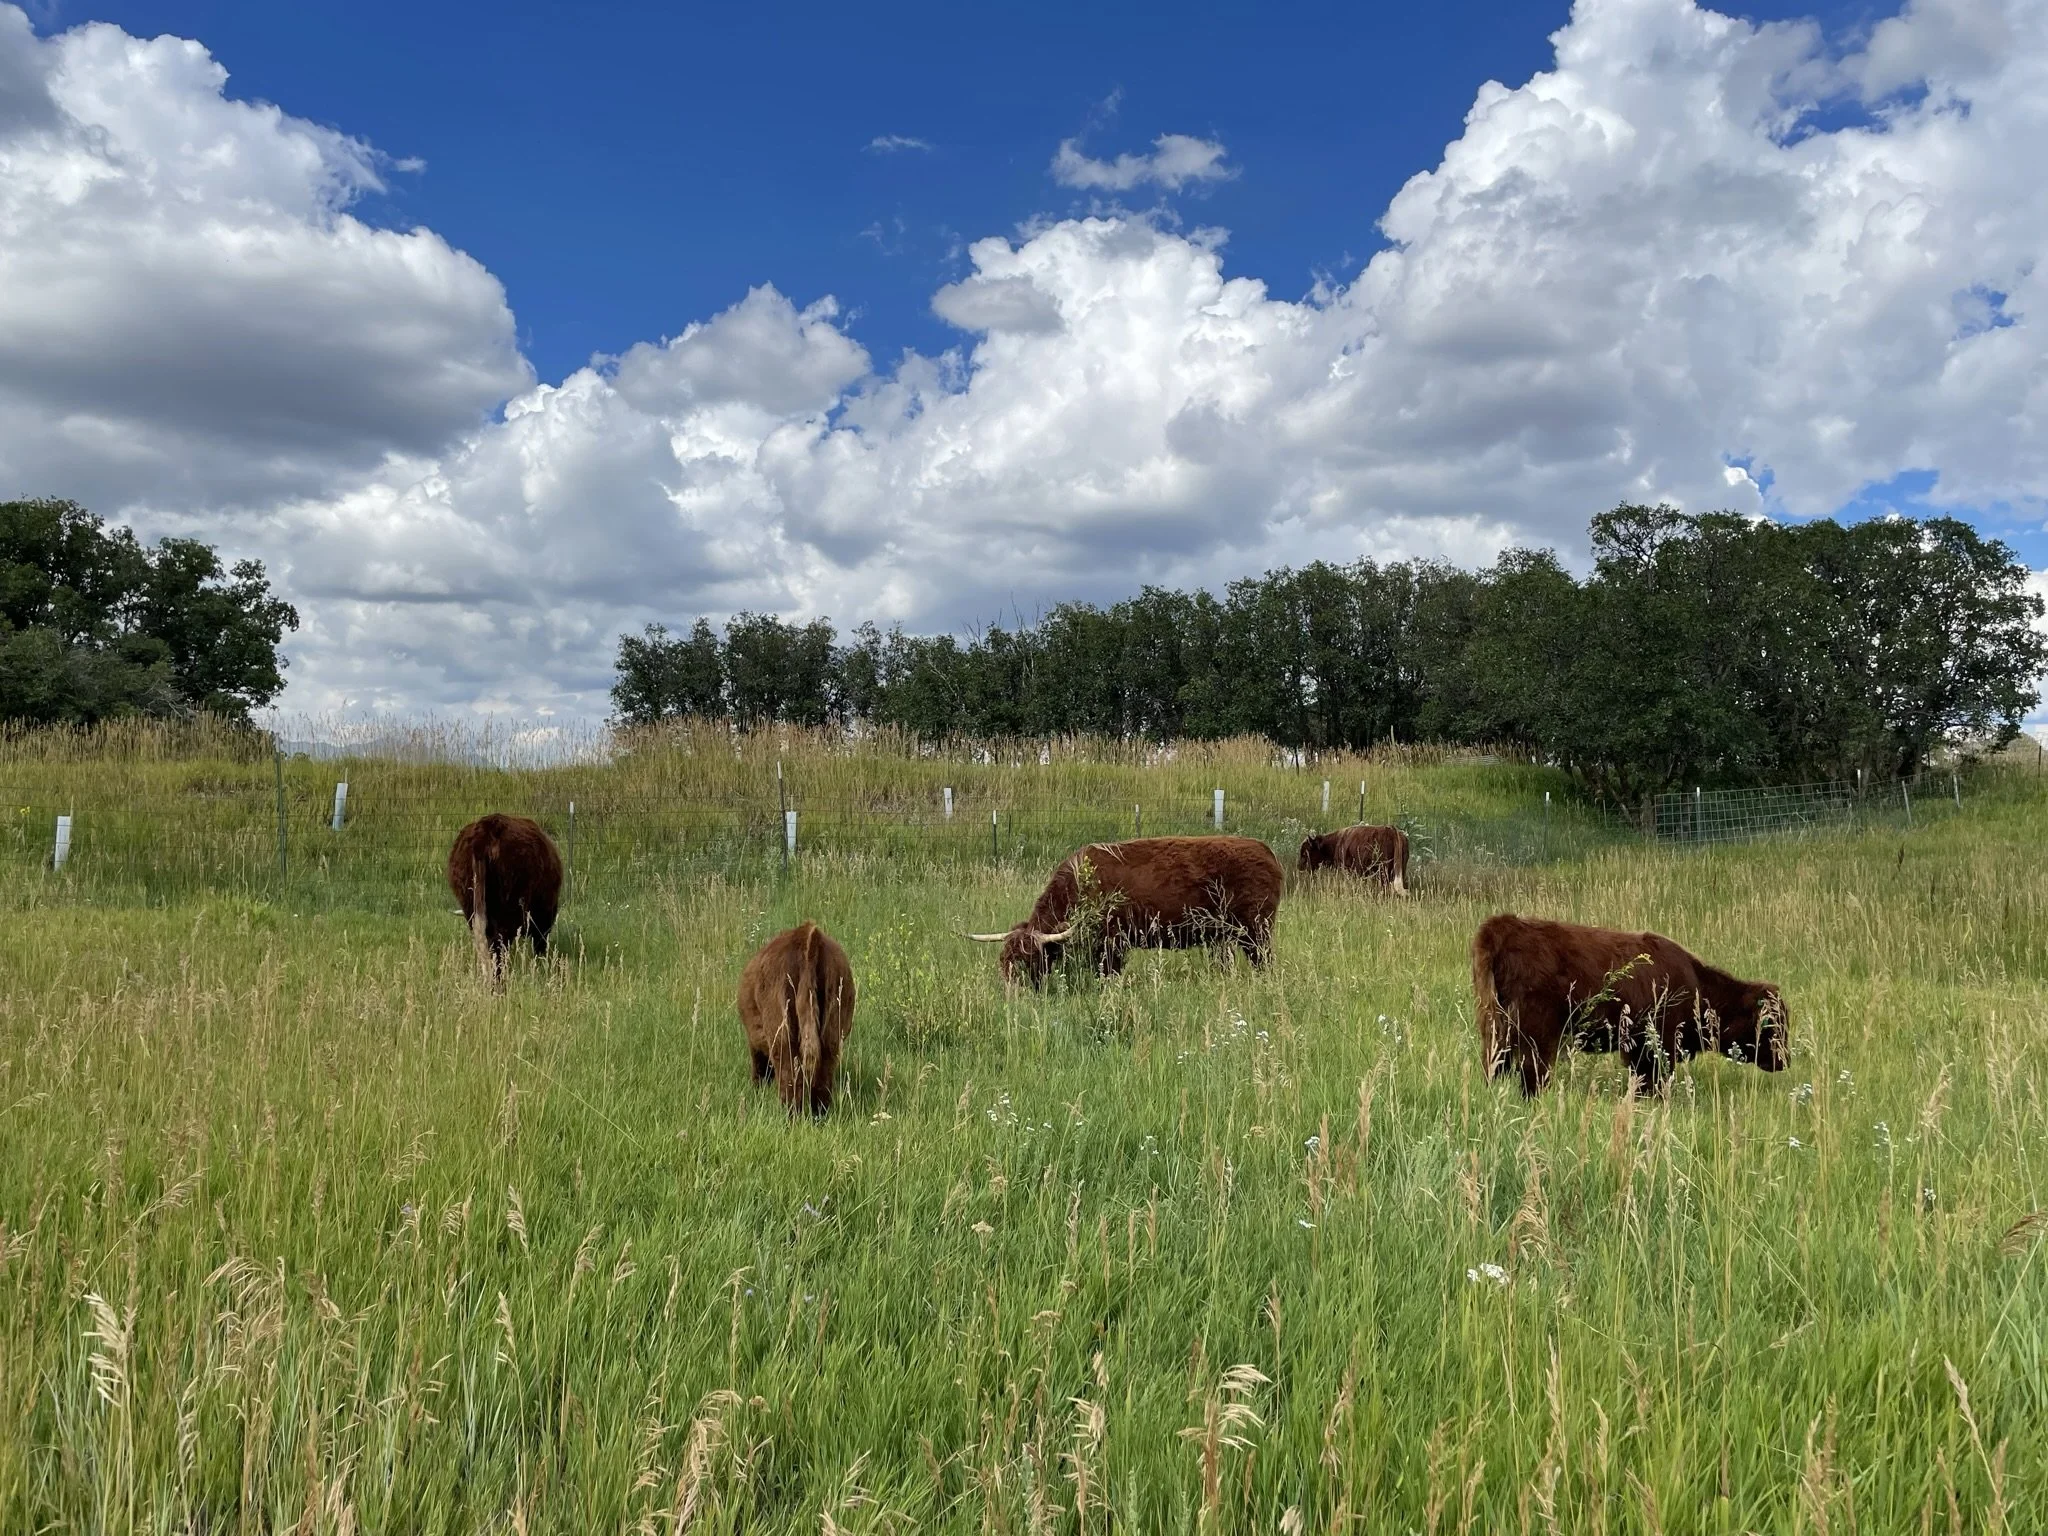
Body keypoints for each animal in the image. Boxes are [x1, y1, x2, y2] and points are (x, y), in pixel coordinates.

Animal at [966, 835, 1284, 987]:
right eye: (1004, 961)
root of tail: (1266, 852)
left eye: (1029, 961)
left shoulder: (1113, 945)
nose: (1012, 993)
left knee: (1264, 962)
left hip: (1256, 932)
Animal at [1472, 914, 1788, 1097]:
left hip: (1498, 1032)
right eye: (1771, 1024)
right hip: (1535, 1037)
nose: (1784, 1061)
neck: (1698, 985)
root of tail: (1506, 925)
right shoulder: (1655, 1046)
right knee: (1531, 1072)